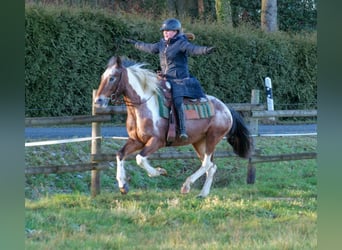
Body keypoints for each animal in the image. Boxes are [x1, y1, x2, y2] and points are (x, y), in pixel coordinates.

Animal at [95, 56, 252, 197]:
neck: (145, 105)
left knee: (207, 164)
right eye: (103, 76)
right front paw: (123, 185)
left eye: (112, 78)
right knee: (211, 166)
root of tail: (226, 109)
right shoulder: (136, 141)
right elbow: (120, 154)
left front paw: (159, 171)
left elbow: (140, 159)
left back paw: (186, 185)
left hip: (213, 138)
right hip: (199, 142)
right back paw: (203, 193)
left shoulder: (157, 141)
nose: (98, 101)